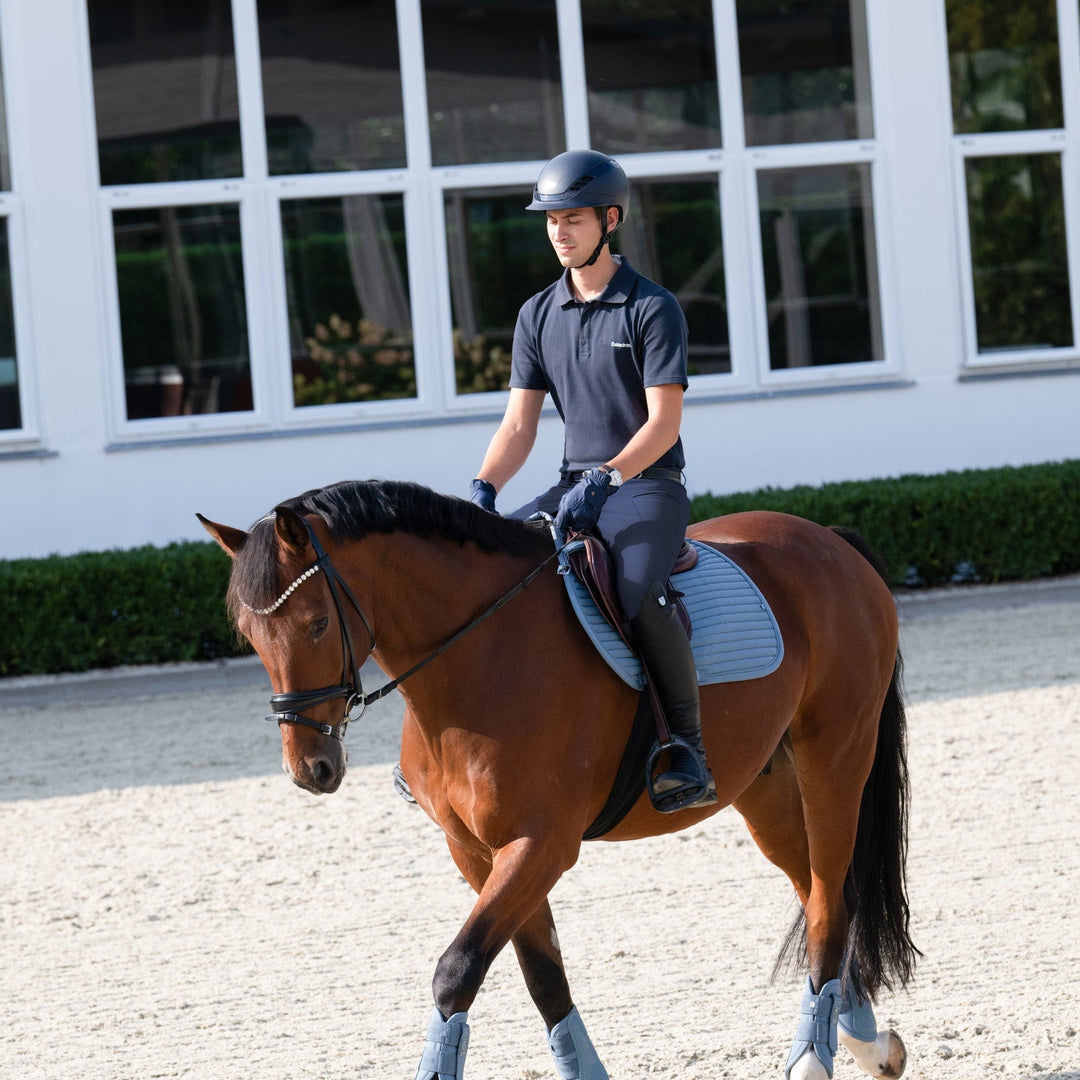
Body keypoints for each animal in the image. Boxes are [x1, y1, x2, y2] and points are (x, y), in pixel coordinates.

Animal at [198, 478, 917, 1080]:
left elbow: (457, 970)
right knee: (825, 891)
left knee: (828, 899)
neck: (476, 657)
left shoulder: (541, 845)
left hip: (834, 759)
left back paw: (814, 1057)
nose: (310, 769)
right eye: (250, 636)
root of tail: (830, 541)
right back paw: (865, 1040)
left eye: (317, 623)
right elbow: (542, 977)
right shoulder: (478, 851)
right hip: (763, 787)